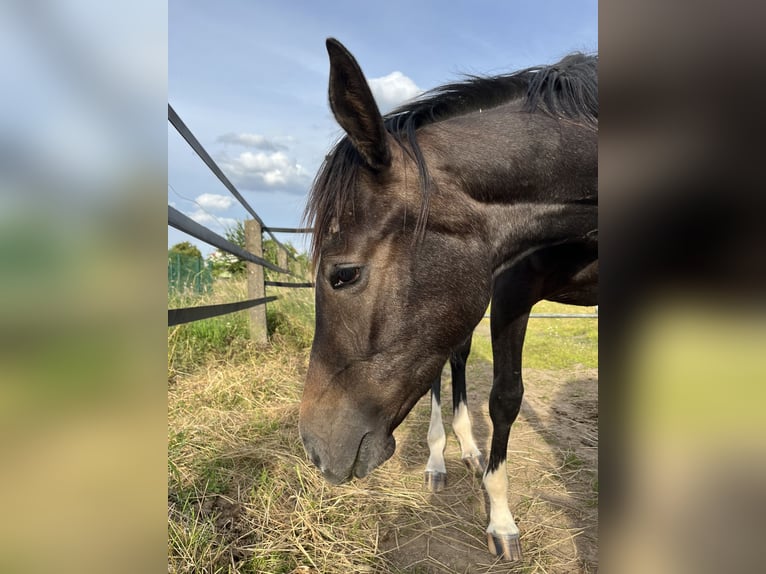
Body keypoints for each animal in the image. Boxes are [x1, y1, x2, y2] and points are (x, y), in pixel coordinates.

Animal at [300, 37, 600, 564]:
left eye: (343, 274)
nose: (315, 449)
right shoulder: (511, 291)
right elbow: (505, 398)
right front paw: (501, 519)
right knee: (445, 367)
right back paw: (441, 456)